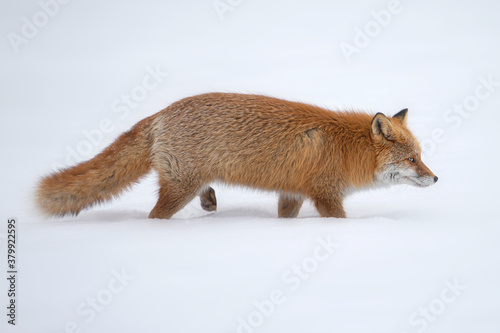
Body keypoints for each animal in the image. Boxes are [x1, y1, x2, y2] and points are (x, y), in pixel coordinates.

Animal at [36, 92, 438, 218]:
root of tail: (162, 112)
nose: (436, 178)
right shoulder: (325, 195)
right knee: (154, 216)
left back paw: (210, 200)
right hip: (178, 188)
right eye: (412, 159)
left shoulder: (292, 193)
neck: (346, 148)